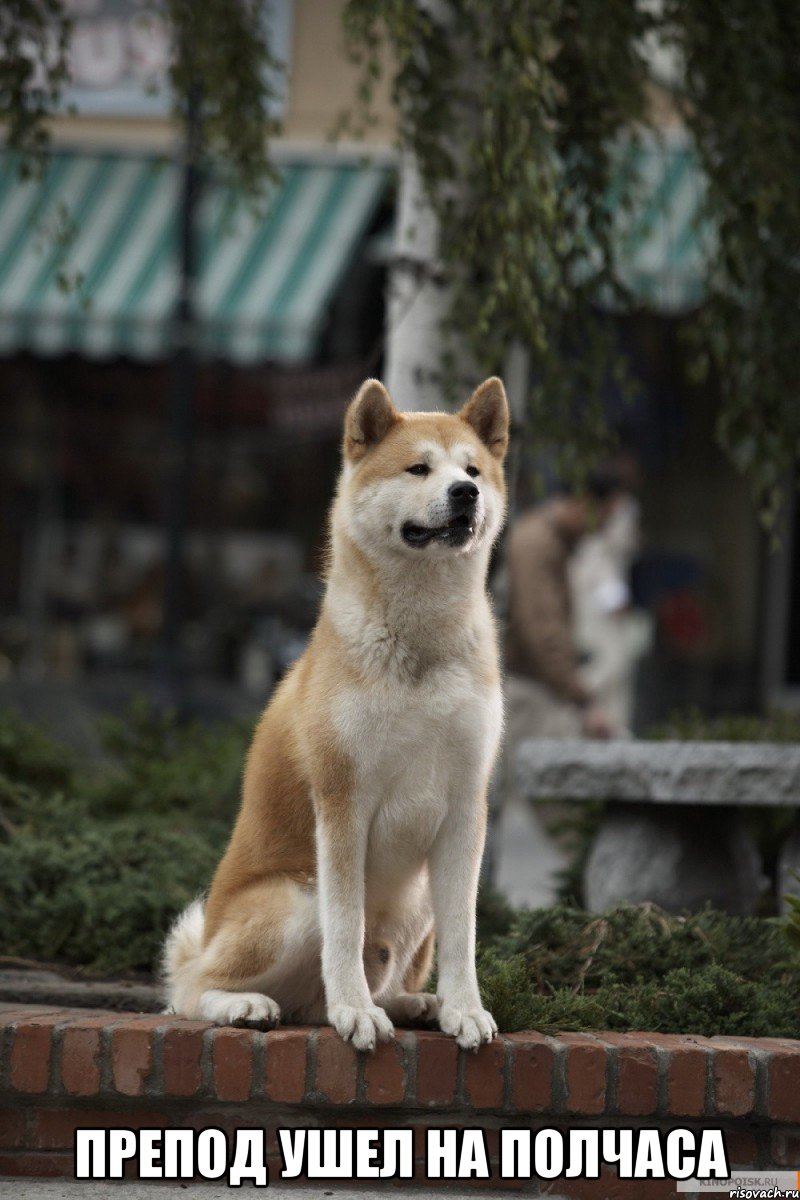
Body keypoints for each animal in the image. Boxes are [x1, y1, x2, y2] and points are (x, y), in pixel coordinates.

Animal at [164, 376, 506, 1051]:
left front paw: (464, 1009)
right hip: (296, 900)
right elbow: (345, 928)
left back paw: (412, 1003)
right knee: (189, 990)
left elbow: (465, 934)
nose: (466, 493)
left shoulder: (465, 806)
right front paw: (355, 1011)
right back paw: (251, 1004)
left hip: (416, 900)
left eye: (473, 469)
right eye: (419, 468)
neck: (420, 645)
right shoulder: (344, 801)